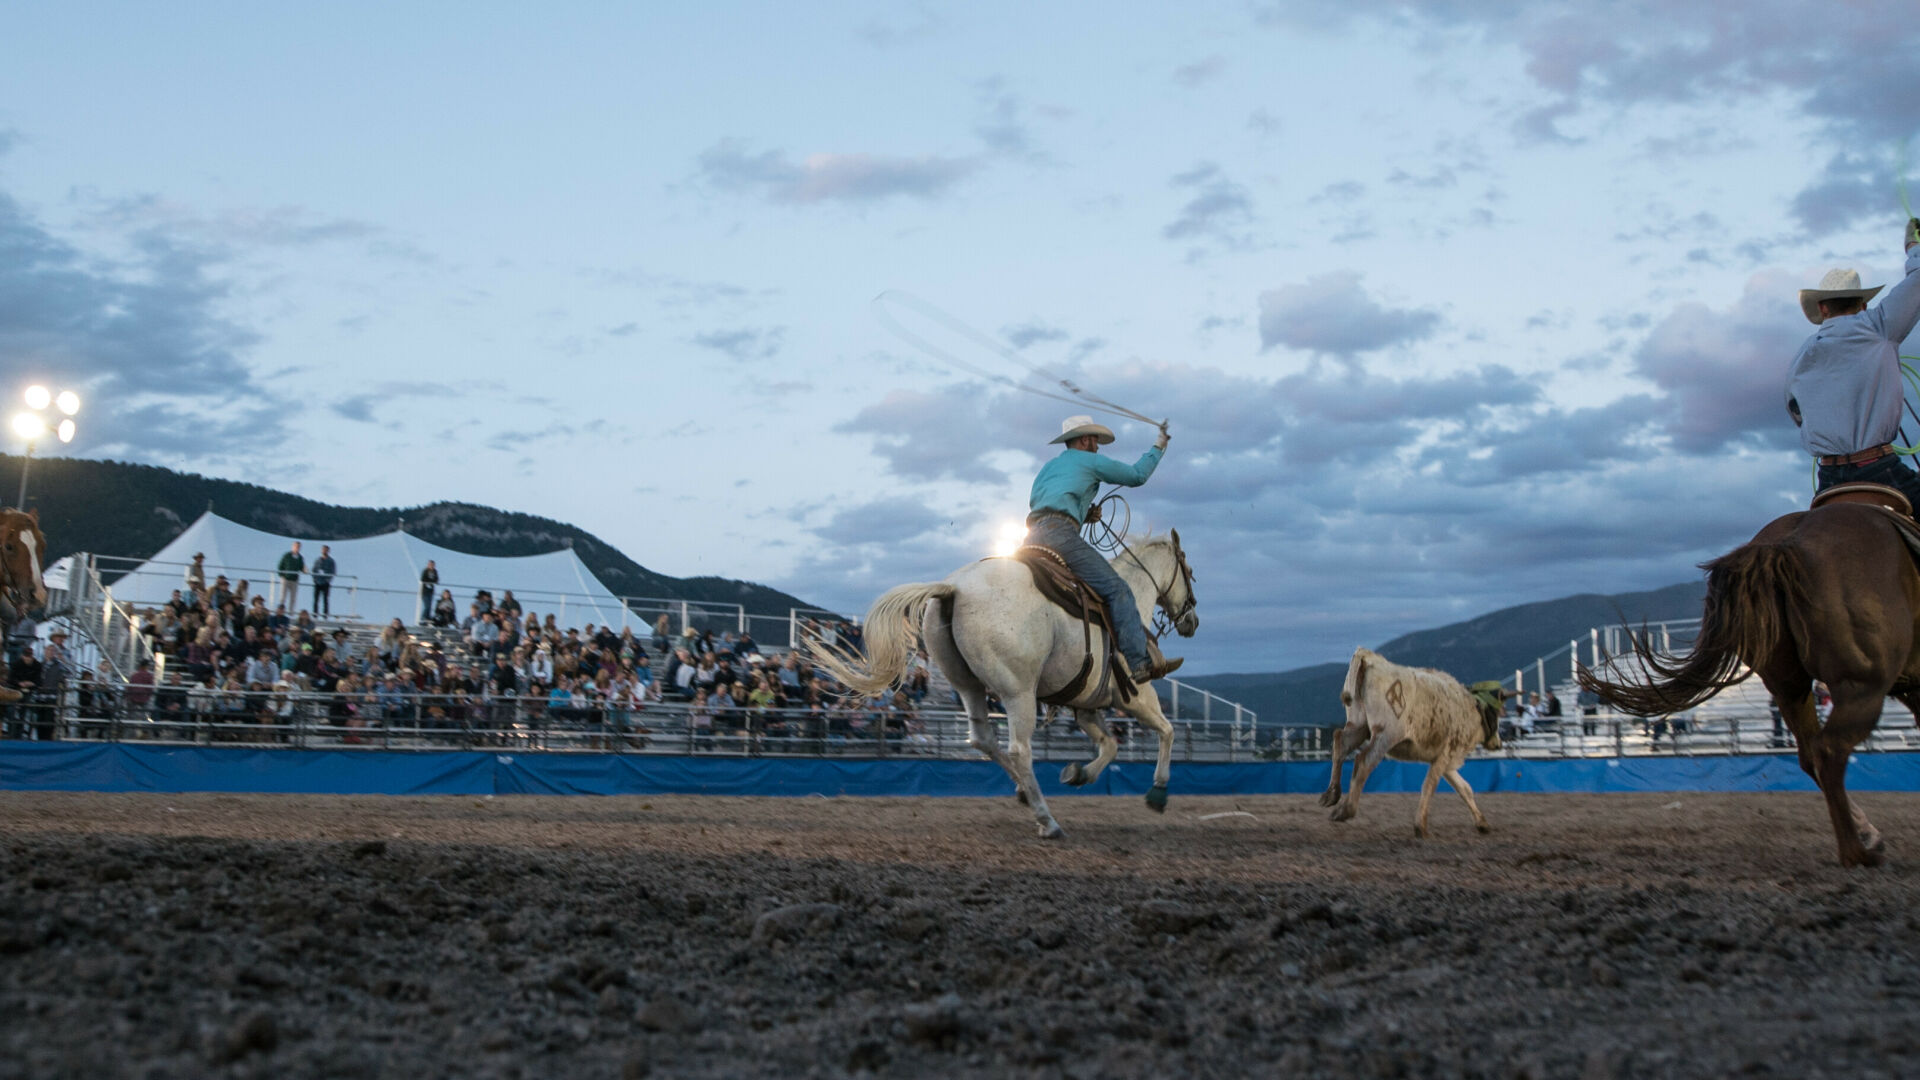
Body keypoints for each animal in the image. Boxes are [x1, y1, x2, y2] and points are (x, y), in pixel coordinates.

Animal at [814, 526, 1198, 834]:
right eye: (1189, 570)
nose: (1191, 620)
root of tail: (954, 587)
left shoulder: (1087, 707)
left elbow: (1110, 746)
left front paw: (1079, 774)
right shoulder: (1136, 696)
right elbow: (1166, 731)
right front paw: (1158, 792)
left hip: (967, 686)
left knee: (984, 741)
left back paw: (1025, 793)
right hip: (1018, 693)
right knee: (1019, 750)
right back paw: (1047, 821)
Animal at [1328, 641, 1505, 837]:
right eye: (1496, 716)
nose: (1498, 743)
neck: (1471, 710)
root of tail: (1369, 659)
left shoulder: (1444, 760)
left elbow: (1464, 789)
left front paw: (1482, 823)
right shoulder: (1446, 754)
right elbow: (1429, 786)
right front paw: (1420, 826)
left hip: (1358, 726)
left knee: (1340, 743)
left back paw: (1332, 795)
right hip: (1386, 735)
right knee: (1364, 761)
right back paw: (1346, 809)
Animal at [1574, 499, 1920, 864]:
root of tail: (1786, 543)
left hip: (1789, 688)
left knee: (1811, 754)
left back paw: (1864, 838)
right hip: (1861, 686)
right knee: (1829, 750)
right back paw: (1858, 851)